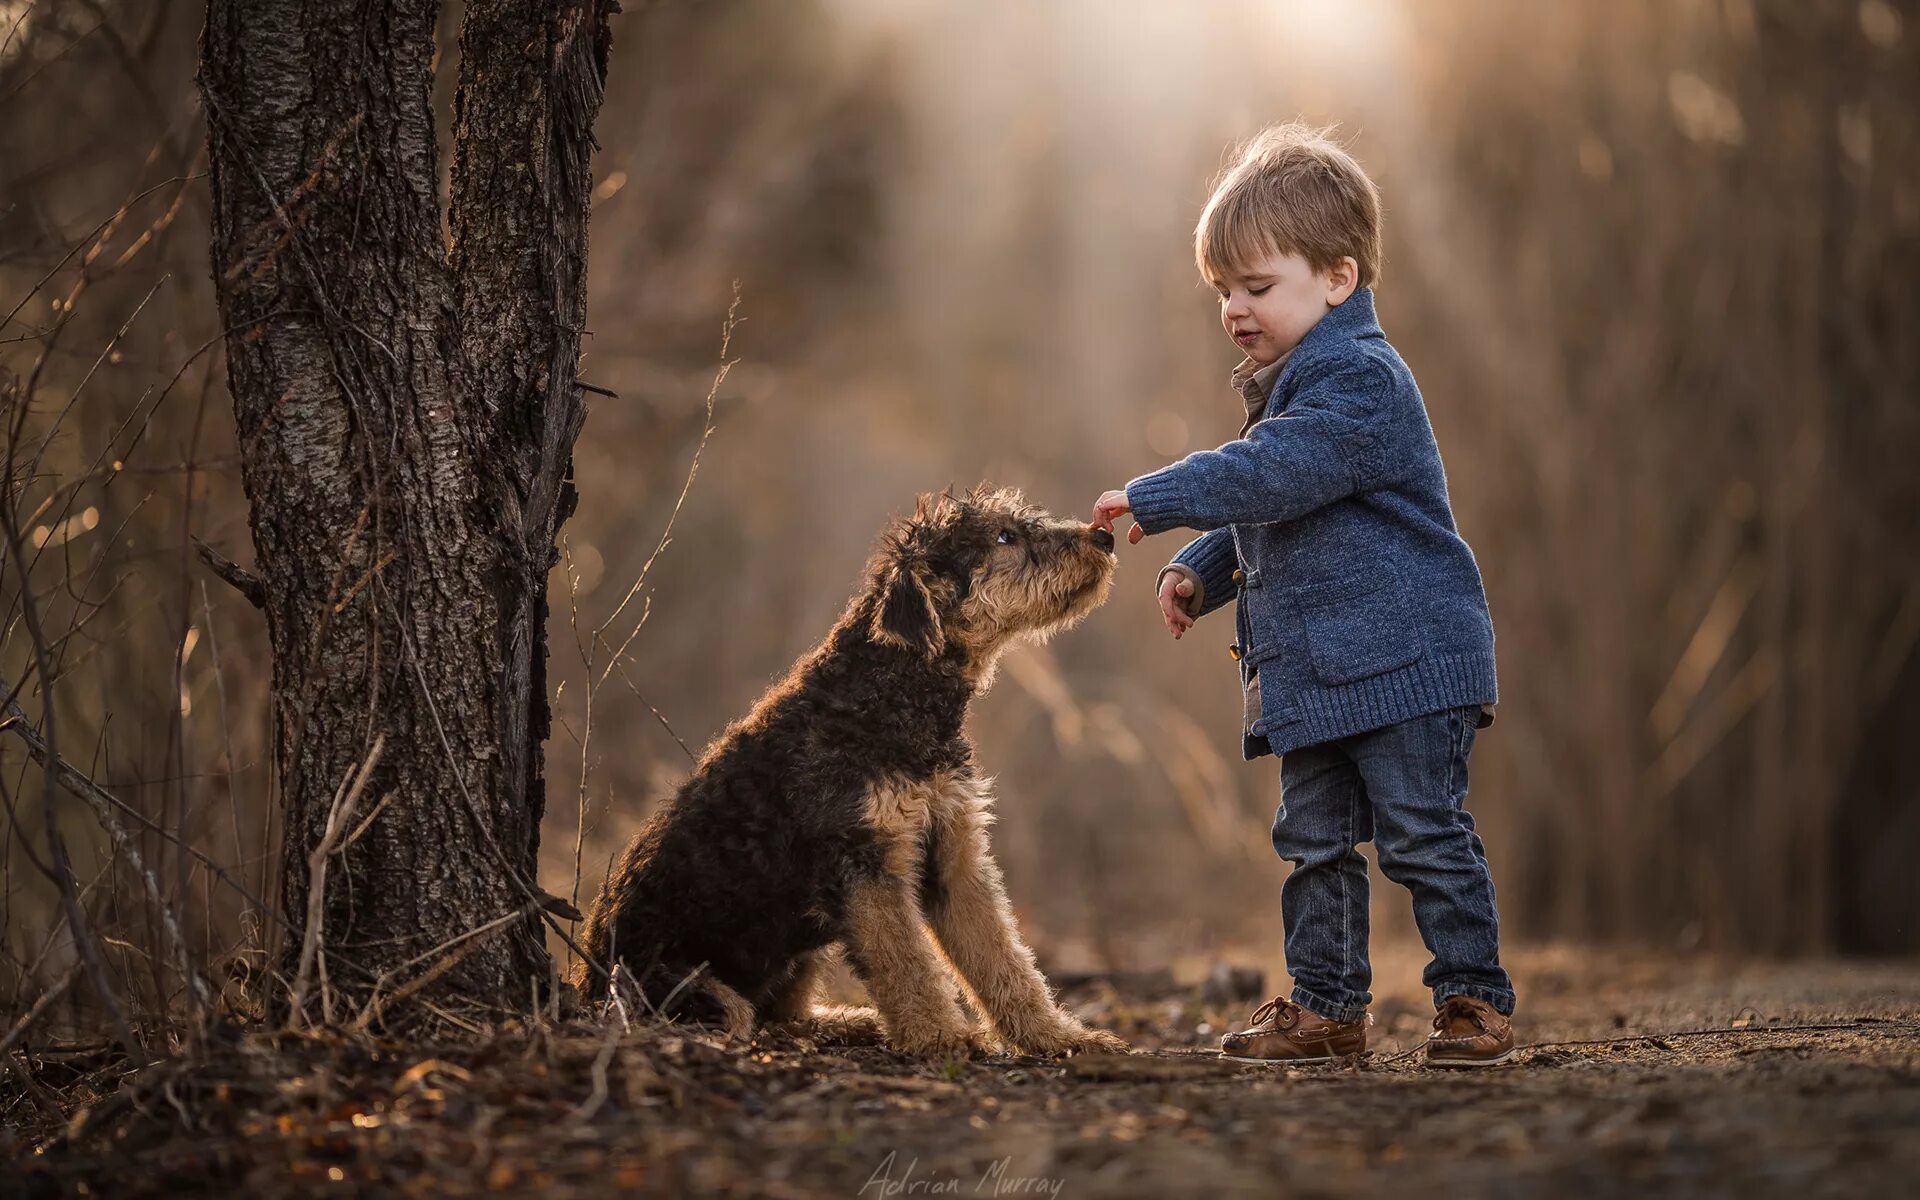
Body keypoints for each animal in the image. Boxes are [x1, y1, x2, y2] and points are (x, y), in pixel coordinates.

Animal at [576, 487, 1128, 1059]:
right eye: (1004, 536)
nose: (1103, 538)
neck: (889, 693)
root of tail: (584, 984)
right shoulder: (867, 861)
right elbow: (907, 962)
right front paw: (942, 1037)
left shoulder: (954, 856)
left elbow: (1003, 957)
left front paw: (1058, 1036)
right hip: (690, 983)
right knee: (746, 1017)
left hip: (802, 949)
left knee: (786, 1014)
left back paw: (856, 1022)